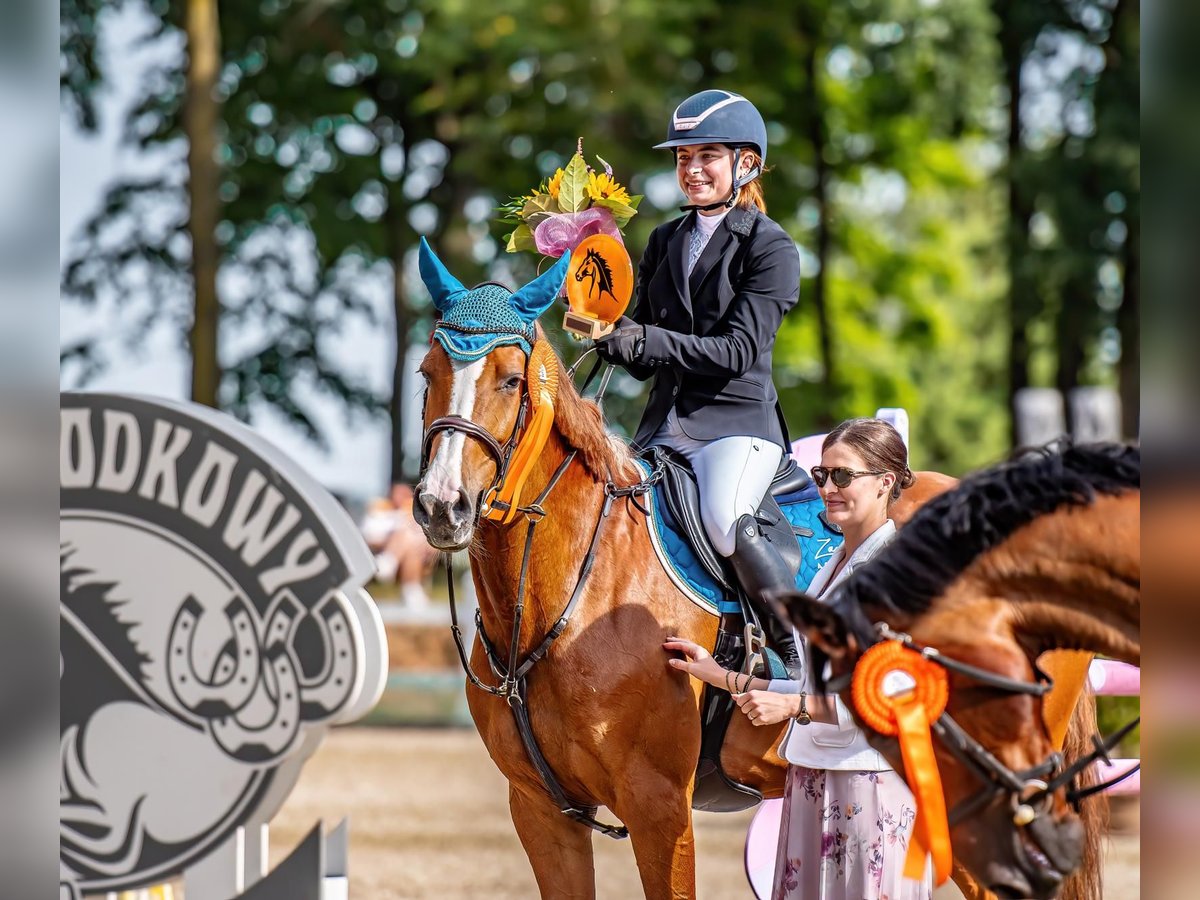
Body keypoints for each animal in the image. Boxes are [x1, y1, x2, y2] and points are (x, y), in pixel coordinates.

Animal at [412, 236, 955, 897]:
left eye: (512, 380)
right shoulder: (541, 810)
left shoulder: (659, 804)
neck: (567, 597)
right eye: (427, 373)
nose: (442, 506)